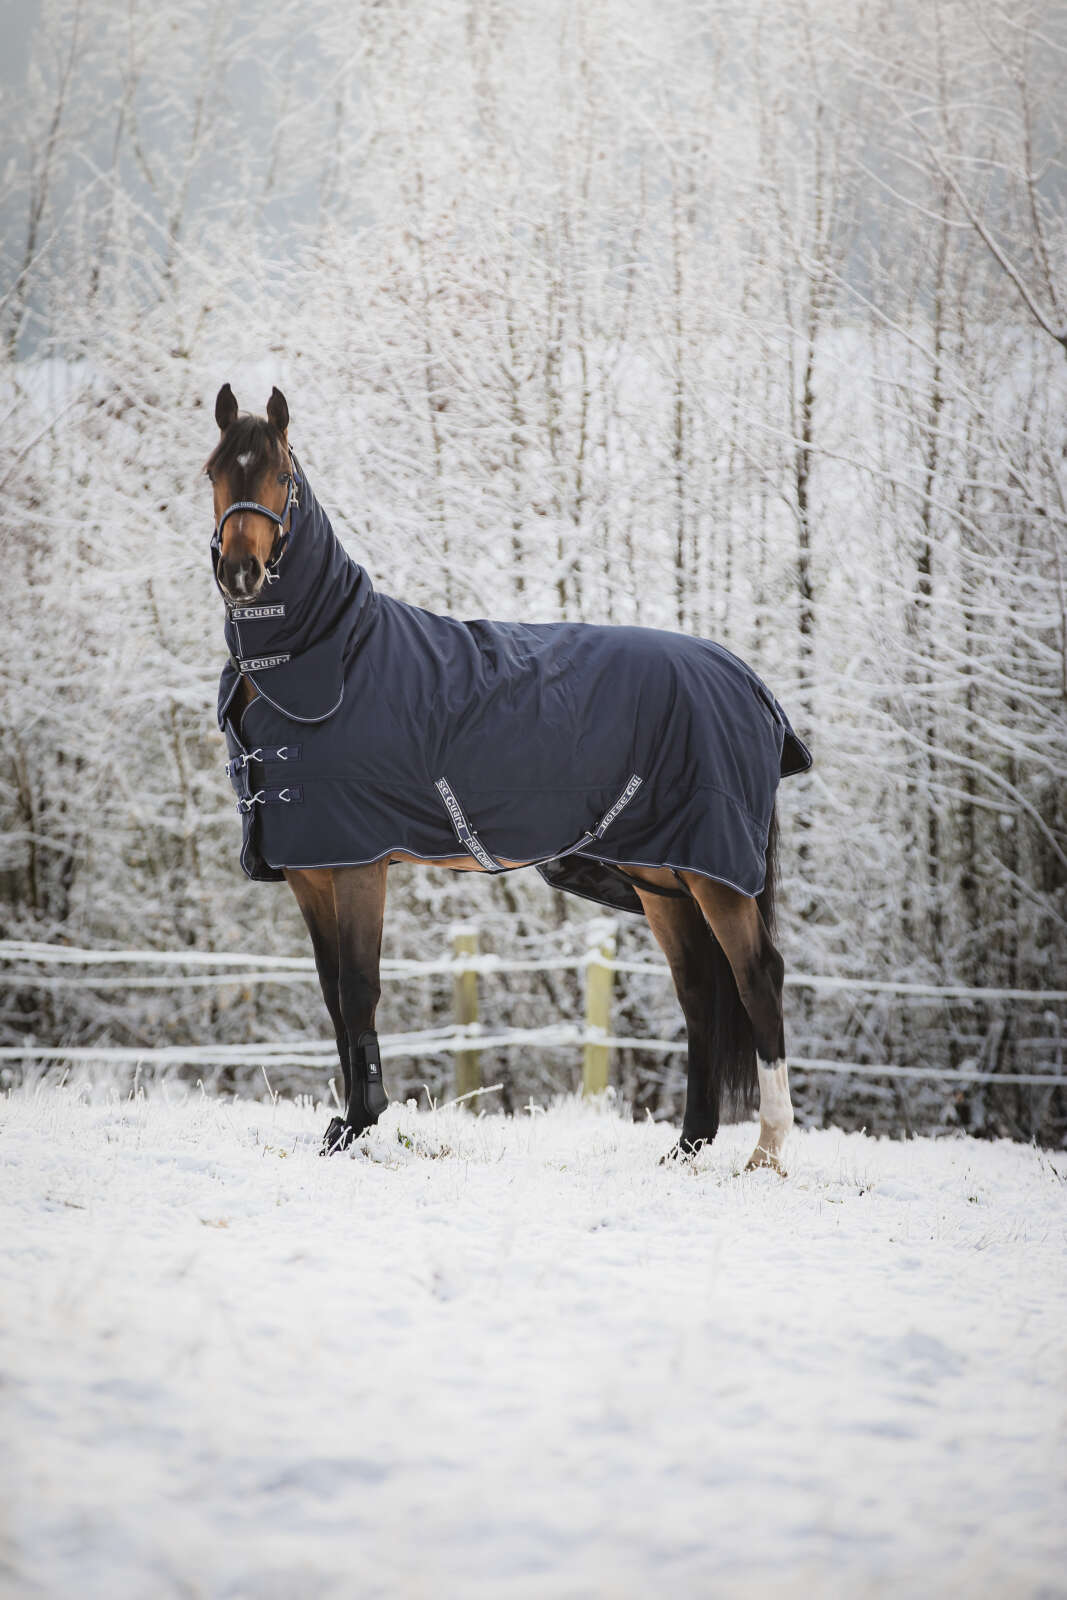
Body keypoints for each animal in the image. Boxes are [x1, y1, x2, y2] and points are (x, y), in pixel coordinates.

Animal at [206, 384, 811, 1170]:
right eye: (214, 471)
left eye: (282, 475)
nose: (241, 575)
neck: (330, 660)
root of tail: (748, 682)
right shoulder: (312, 872)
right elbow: (333, 995)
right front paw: (345, 1125)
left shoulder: (358, 864)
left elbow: (359, 987)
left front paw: (364, 1120)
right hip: (663, 876)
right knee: (698, 990)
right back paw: (687, 1144)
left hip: (716, 875)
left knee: (757, 977)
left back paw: (766, 1150)